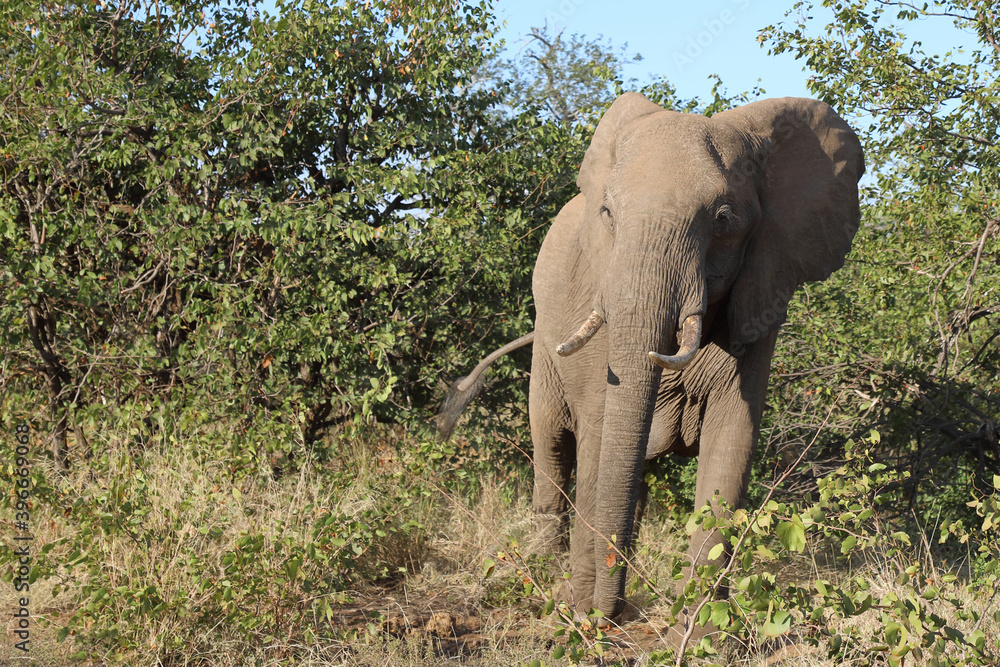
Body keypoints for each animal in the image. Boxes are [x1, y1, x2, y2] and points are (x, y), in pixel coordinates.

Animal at [438, 92, 864, 635]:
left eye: (723, 219)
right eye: (606, 212)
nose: (603, 613)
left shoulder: (764, 290)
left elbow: (731, 443)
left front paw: (703, 631)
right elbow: (600, 435)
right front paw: (586, 613)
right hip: (546, 353)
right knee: (553, 446)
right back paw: (547, 567)